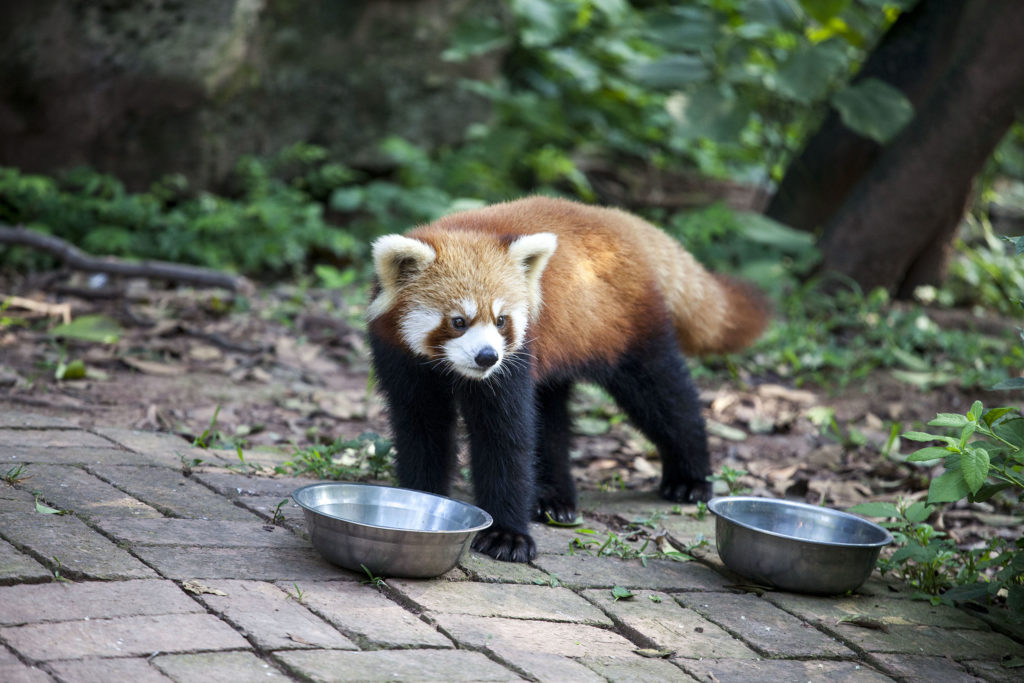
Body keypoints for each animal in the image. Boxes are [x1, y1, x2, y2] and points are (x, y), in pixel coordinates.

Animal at [368, 194, 770, 565]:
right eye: (458, 321)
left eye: (501, 320)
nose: (487, 356)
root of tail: (617, 220)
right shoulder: (402, 359)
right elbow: (422, 429)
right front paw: (419, 497)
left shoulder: (513, 361)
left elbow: (506, 438)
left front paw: (507, 535)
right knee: (551, 420)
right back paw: (554, 499)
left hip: (626, 332)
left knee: (665, 397)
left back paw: (690, 480)